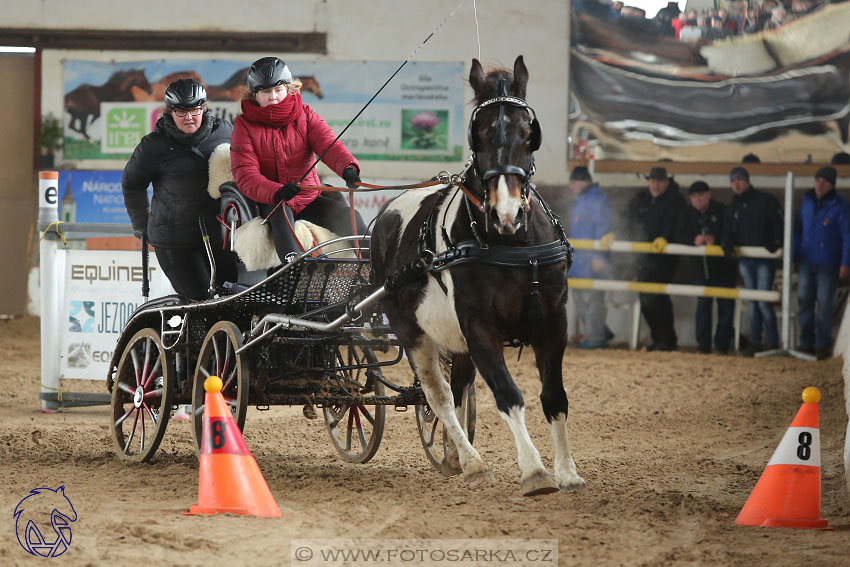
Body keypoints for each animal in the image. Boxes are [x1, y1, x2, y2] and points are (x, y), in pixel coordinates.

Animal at [372, 54, 584, 496]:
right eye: (479, 137)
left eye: (528, 133)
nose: (506, 213)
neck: (513, 246)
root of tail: (386, 214)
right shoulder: (479, 327)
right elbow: (508, 394)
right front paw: (535, 472)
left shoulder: (553, 322)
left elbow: (554, 396)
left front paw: (568, 472)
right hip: (411, 329)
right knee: (437, 396)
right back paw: (471, 462)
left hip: (457, 342)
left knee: (457, 389)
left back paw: (455, 456)